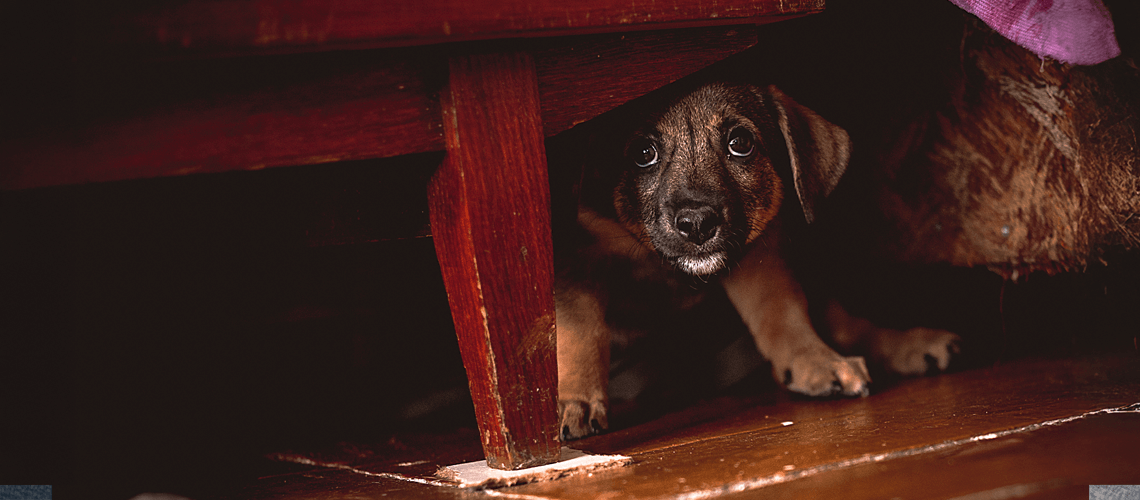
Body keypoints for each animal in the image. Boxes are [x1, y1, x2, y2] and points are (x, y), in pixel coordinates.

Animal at [556, 84, 957, 439]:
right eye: (643, 153)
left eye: (740, 144)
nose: (697, 224)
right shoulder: (579, 259)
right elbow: (581, 331)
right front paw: (574, 401)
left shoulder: (758, 254)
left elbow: (781, 312)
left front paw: (814, 360)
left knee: (845, 322)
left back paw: (910, 344)